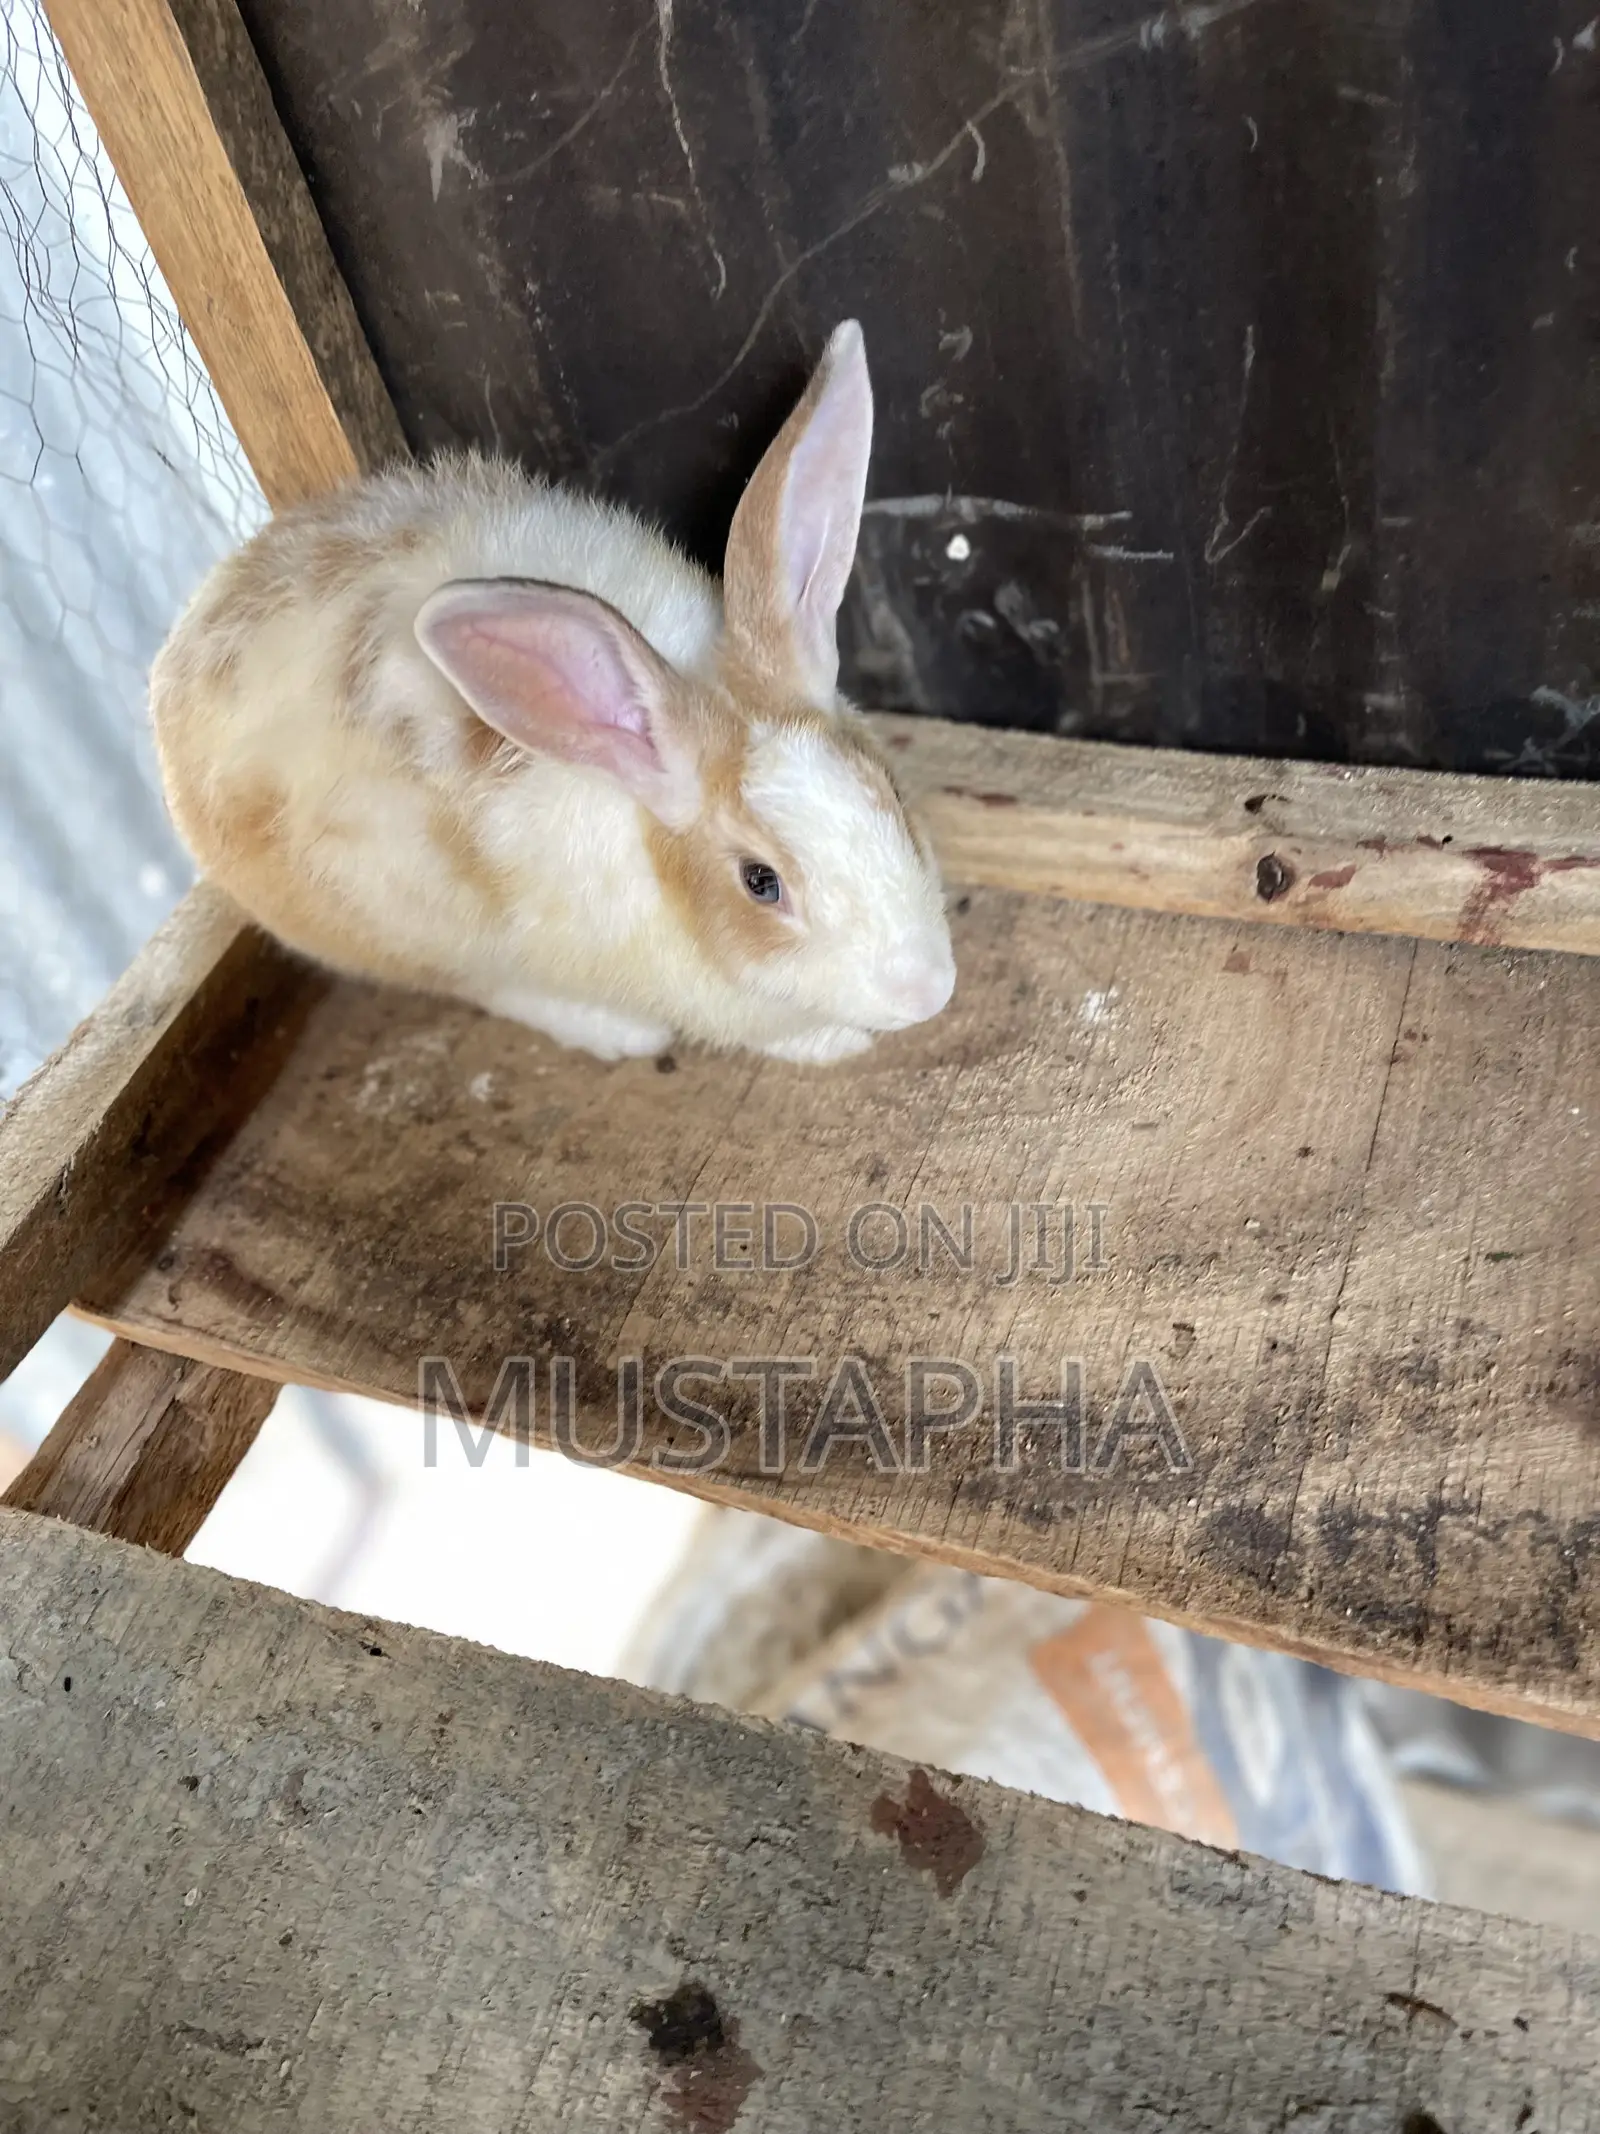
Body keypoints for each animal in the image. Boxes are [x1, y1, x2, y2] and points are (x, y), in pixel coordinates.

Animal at [149, 321, 955, 1065]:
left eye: (888, 789)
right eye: (761, 883)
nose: (929, 990)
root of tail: (168, 684)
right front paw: (832, 1043)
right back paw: (615, 1033)